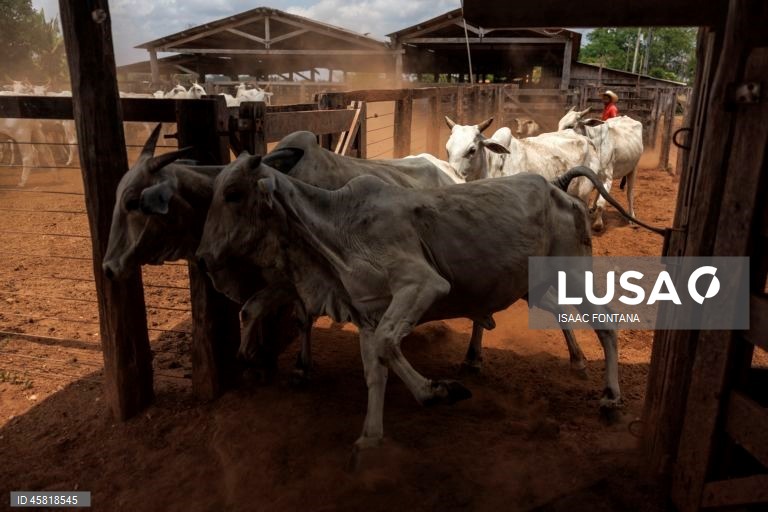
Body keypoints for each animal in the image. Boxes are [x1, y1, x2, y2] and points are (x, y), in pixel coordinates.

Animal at [196, 155, 663, 454]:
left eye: (233, 193)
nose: (202, 256)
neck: (335, 226)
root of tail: (558, 187)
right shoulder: (368, 313)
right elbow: (376, 369)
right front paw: (370, 438)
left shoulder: (421, 285)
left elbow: (390, 347)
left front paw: (438, 391)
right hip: (540, 282)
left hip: (573, 274)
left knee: (607, 325)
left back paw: (610, 396)